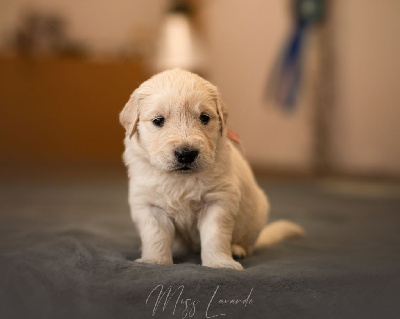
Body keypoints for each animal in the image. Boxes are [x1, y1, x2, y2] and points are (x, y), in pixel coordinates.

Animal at [119, 69, 304, 270]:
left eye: (204, 118)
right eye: (158, 120)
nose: (186, 154)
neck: (180, 178)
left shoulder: (218, 200)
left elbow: (215, 235)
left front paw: (220, 263)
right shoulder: (148, 203)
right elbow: (155, 236)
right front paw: (154, 261)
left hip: (257, 216)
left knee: (247, 244)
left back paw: (237, 249)